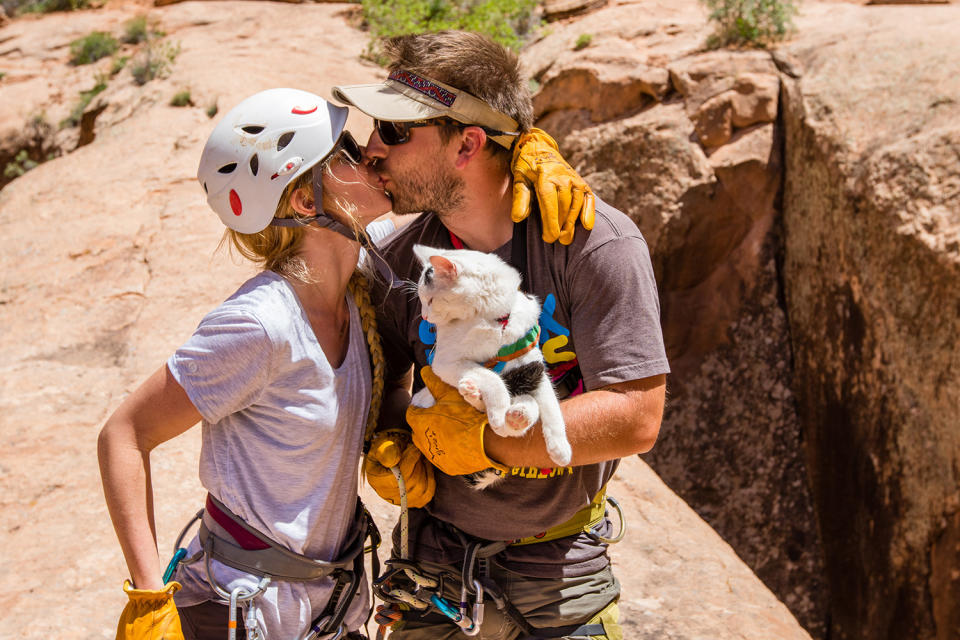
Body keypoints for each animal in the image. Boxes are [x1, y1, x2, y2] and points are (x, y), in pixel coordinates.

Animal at [410, 242, 572, 488]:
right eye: (422, 301)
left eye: (429, 301)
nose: (425, 316)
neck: (490, 318)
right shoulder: (446, 362)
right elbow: (492, 378)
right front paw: (497, 411)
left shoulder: (530, 360)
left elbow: (550, 404)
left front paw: (560, 447)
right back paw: (477, 396)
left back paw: (517, 414)